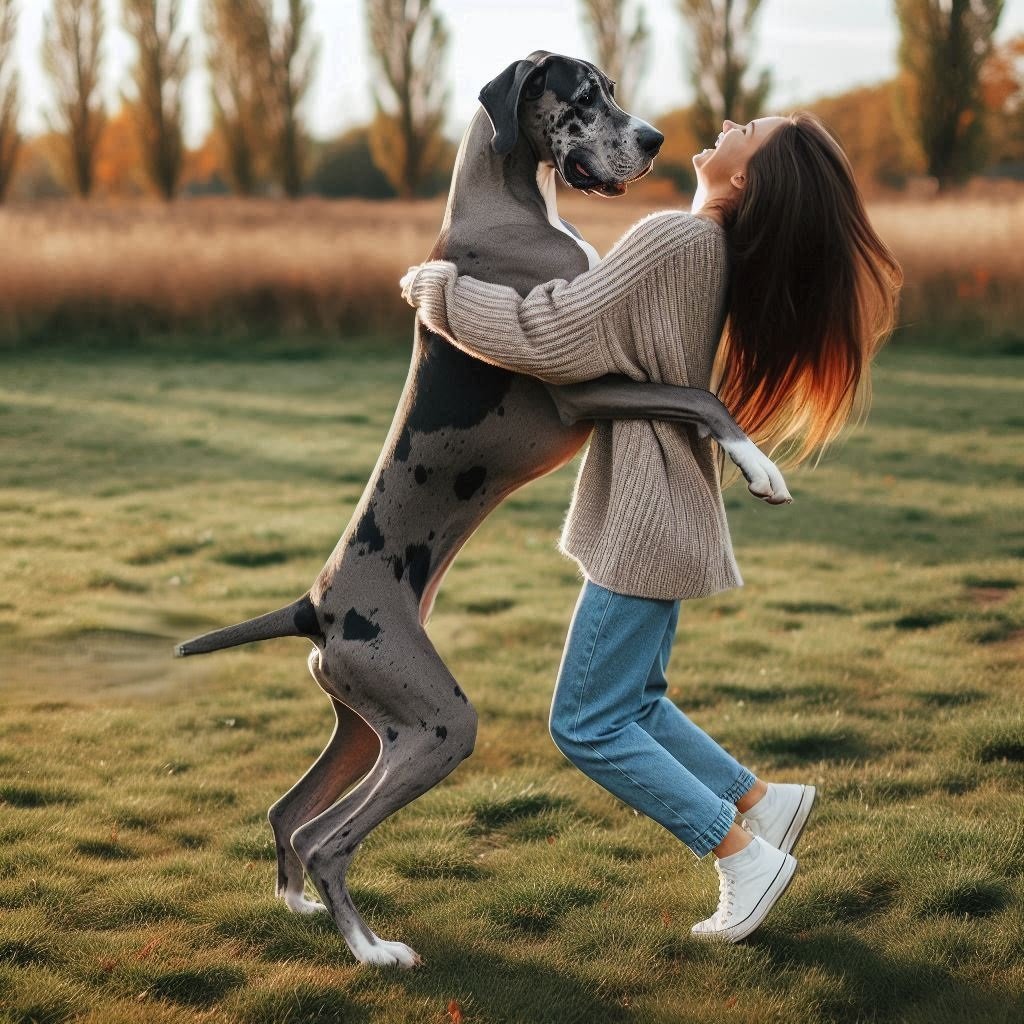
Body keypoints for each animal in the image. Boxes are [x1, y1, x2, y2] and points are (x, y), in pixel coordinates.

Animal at [176, 51, 786, 966]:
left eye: (613, 90)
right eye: (583, 97)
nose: (654, 139)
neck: (508, 203)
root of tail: (313, 607)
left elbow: (694, 393)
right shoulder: (583, 387)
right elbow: (700, 396)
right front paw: (759, 464)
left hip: (369, 723)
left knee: (292, 813)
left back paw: (306, 912)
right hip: (437, 725)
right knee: (328, 837)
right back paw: (374, 952)